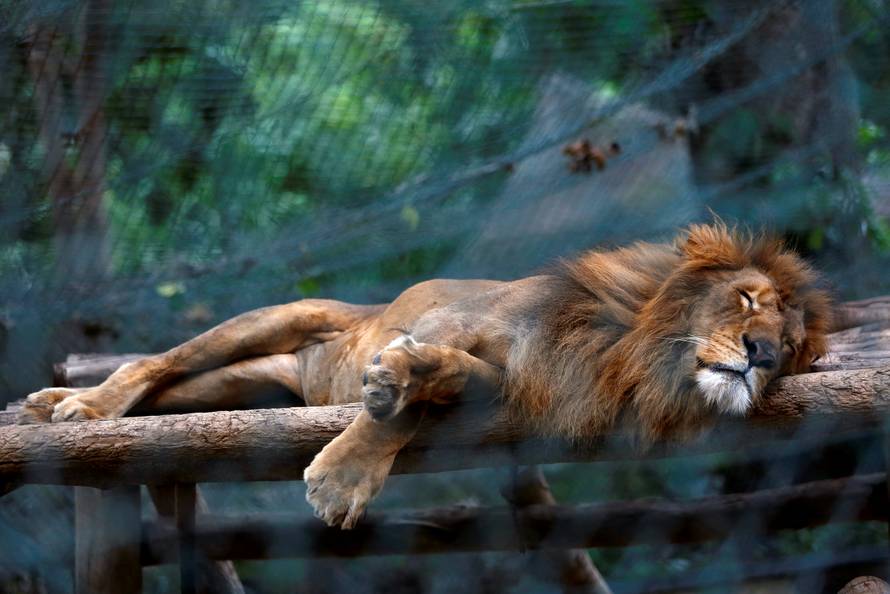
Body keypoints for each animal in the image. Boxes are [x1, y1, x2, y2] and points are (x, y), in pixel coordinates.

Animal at [19, 223, 831, 529]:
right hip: (273, 319)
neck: (624, 348)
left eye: (792, 346)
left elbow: (435, 390)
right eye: (746, 300)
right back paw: (79, 408)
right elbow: (403, 402)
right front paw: (345, 471)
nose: (761, 355)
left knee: (169, 392)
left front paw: (389, 397)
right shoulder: (455, 319)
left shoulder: (510, 384)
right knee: (152, 363)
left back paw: (61, 403)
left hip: (238, 385)